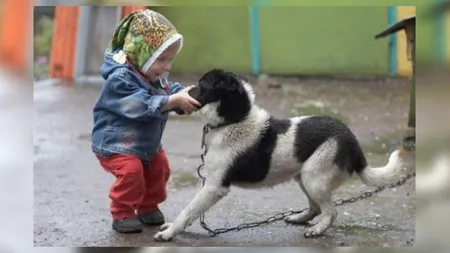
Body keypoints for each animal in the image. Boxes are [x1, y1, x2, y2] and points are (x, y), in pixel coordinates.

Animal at [153, 68, 406, 241]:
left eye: (201, 85)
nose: (176, 94)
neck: (235, 120)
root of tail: (353, 141)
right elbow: (190, 210)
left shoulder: (214, 186)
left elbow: (188, 210)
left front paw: (171, 232)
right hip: (304, 177)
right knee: (316, 207)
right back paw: (299, 218)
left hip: (314, 178)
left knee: (331, 211)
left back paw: (317, 229)